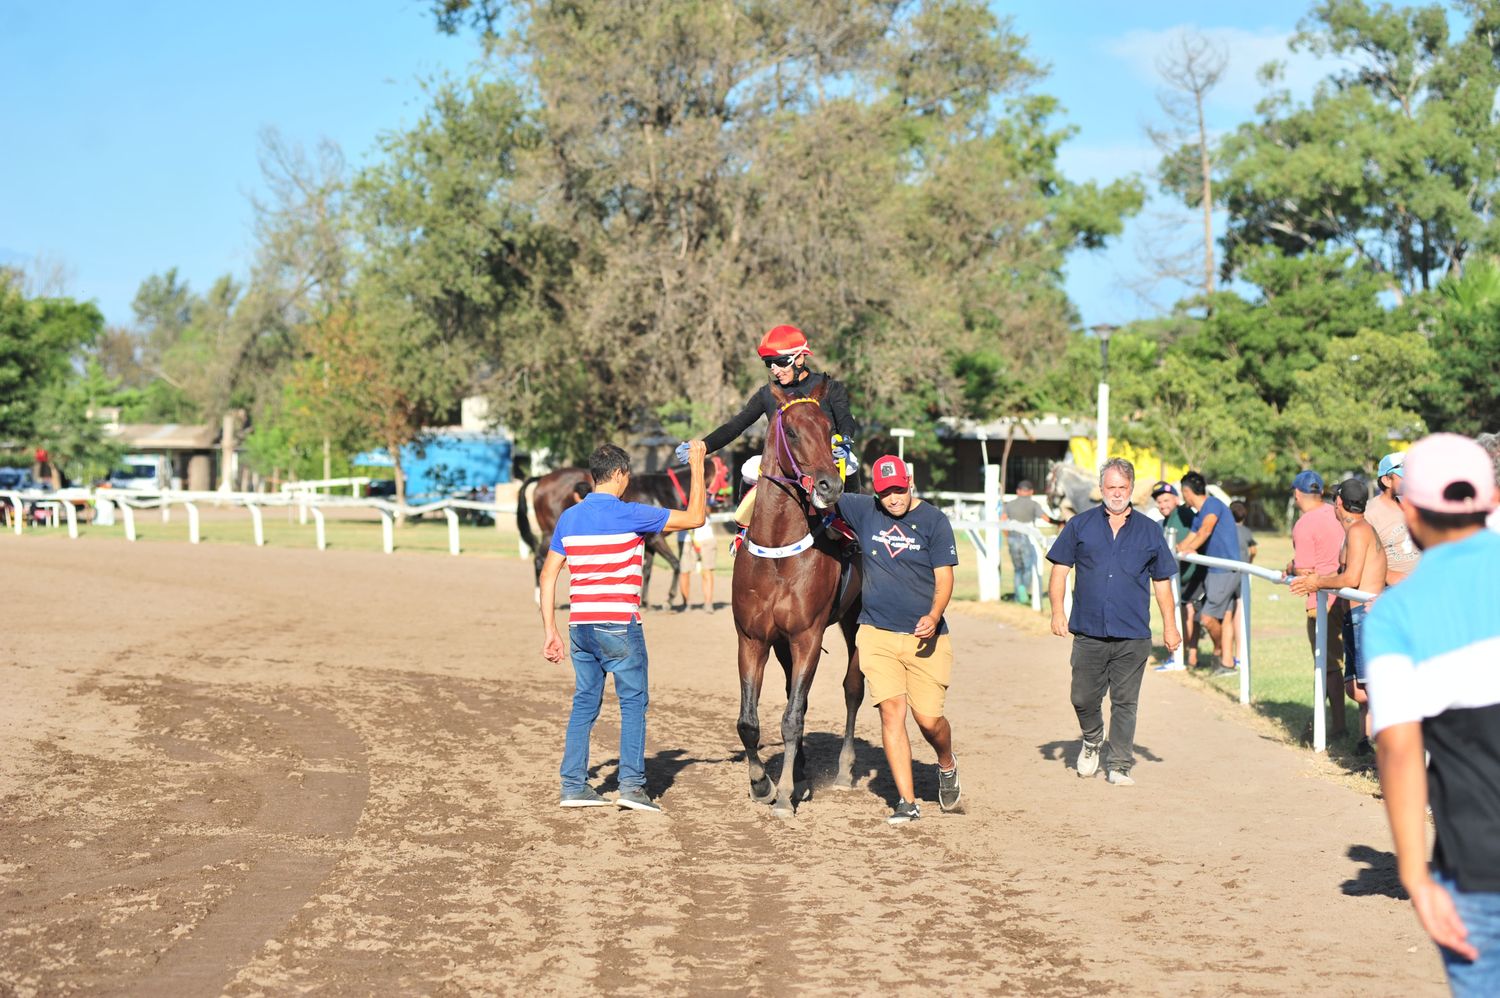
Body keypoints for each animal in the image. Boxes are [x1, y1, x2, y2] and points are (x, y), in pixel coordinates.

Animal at [513, 456, 711, 606]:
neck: (659, 490)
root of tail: (544, 477)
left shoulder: (650, 542)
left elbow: (647, 570)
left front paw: (645, 601)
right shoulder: (656, 538)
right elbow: (676, 564)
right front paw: (669, 599)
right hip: (550, 531)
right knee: (540, 560)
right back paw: (540, 600)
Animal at [732, 382, 864, 816]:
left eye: (829, 430)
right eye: (790, 432)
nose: (829, 485)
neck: (778, 552)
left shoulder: (808, 636)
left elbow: (792, 719)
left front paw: (785, 794)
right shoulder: (753, 638)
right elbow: (749, 722)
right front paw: (761, 784)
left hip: (855, 621)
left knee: (853, 688)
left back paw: (843, 770)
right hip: (782, 644)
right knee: (795, 692)